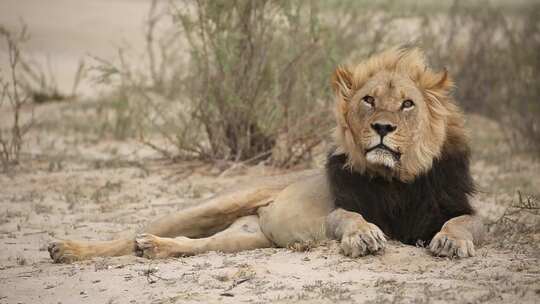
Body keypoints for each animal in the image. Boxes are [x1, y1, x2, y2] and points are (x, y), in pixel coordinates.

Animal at [47, 47, 486, 262]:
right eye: (369, 100)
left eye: (407, 104)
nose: (382, 128)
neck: (396, 179)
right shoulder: (342, 206)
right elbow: (350, 218)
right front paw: (363, 236)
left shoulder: (458, 209)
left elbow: (463, 223)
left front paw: (451, 244)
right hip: (211, 205)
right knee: (128, 235)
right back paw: (68, 249)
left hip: (246, 239)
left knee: (197, 245)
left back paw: (154, 248)